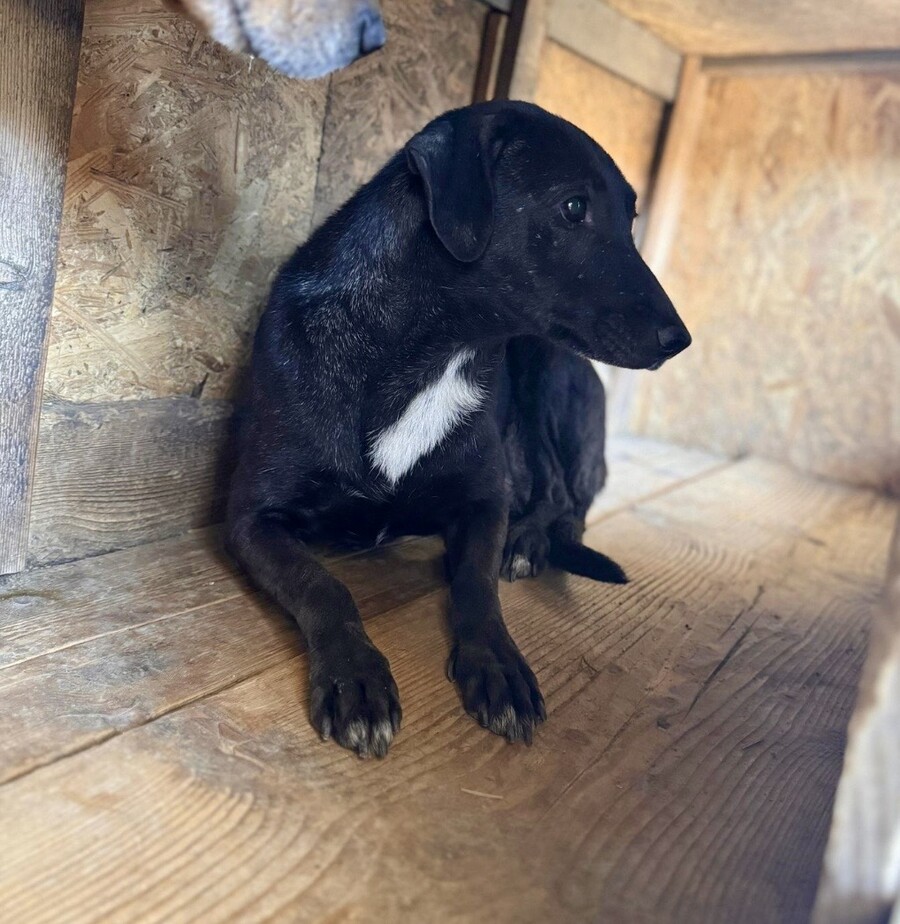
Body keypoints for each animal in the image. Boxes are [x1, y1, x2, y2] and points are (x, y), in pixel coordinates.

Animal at [226, 101, 691, 758]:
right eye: (574, 207)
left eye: (631, 218)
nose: (681, 340)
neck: (436, 349)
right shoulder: (250, 518)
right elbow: (324, 585)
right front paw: (356, 675)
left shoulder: (484, 501)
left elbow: (478, 587)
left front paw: (497, 664)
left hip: (543, 367)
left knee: (562, 496)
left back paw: (527, 542)